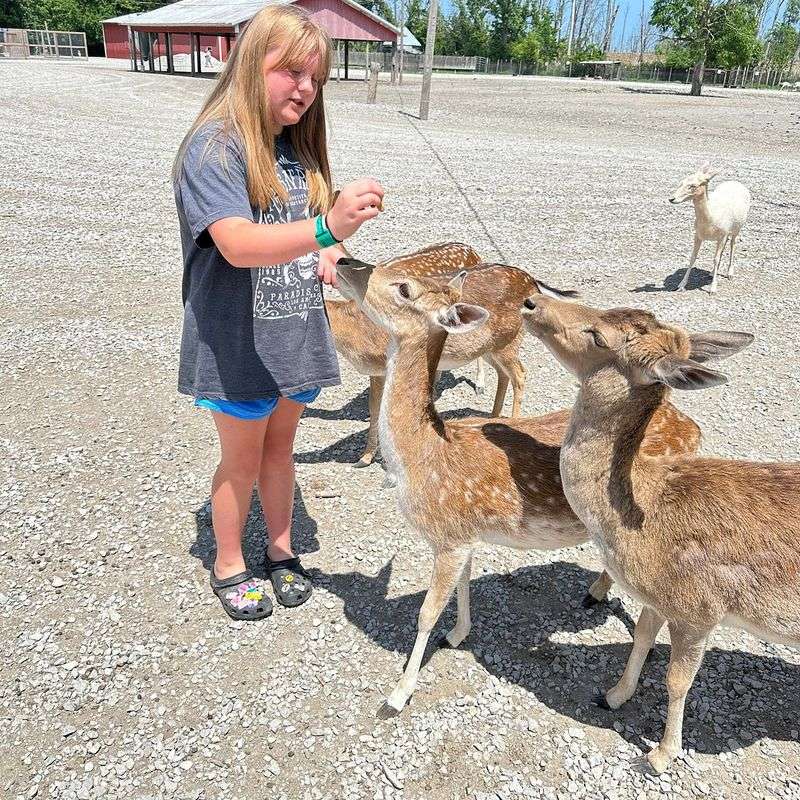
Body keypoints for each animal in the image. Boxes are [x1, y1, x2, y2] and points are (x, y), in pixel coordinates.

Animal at [326, 242, 528, 470]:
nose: (342, 261)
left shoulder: (379, 366)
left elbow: (375, 409)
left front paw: (365, 458)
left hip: (509, 341)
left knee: (520, 374)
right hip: (491, 347)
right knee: (504, 374)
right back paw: (491, 416)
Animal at [334, 258, 706, 715]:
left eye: (404, 287)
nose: (344, 262)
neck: (423, 455)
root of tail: (693, 428)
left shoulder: (449, 536)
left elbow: (425, 612)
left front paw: (398, 695)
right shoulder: (466, 536)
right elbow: (462, 586)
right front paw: (457, 634)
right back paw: (596, 591)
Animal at [517, 294, 800, 775]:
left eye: (598, 335)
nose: (532, 300)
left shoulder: (699, 609)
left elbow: (677, 680)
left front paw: (660, 754)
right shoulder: (654, 596)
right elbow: (641, 637)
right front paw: (612, 696)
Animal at [669, 163, 751, 293]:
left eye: (693, 186)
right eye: (681, 183)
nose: (672, 199)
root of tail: (736, 182)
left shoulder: (722, 234)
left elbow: (715, 259)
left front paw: (713, 288)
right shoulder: (698, 234)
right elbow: (693, 257)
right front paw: (681, 285)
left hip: (737, 228)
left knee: (732, 245)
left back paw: (730, 273)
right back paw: (712, 273)